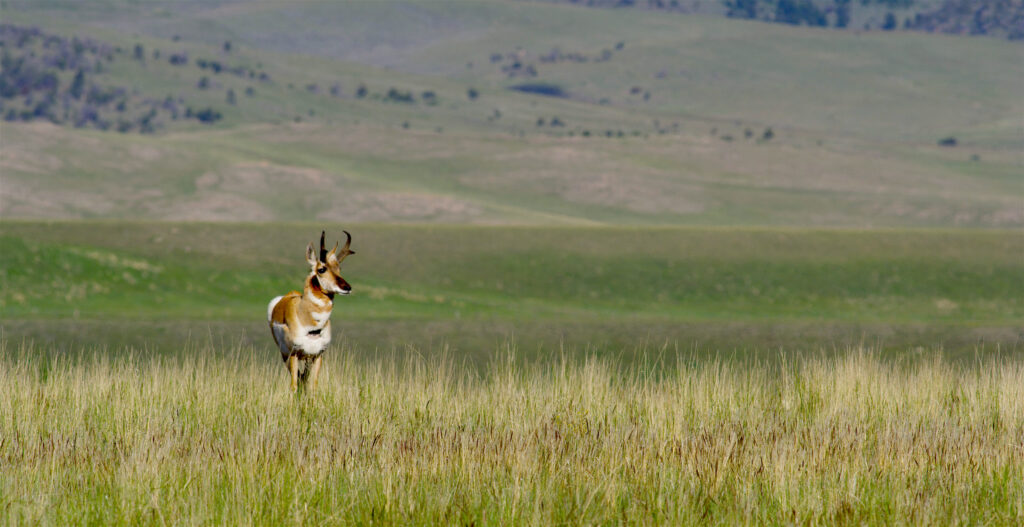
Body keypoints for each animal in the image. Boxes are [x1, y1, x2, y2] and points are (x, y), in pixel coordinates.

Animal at [267, 230, 354, 391]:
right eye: (322, 269)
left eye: (339, 268)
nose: (347, 287)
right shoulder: (294, 354)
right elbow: (294, 385)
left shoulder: (317, 355)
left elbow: (313, 385)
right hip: (285, 355)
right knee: (298, 378)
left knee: (304, 378)